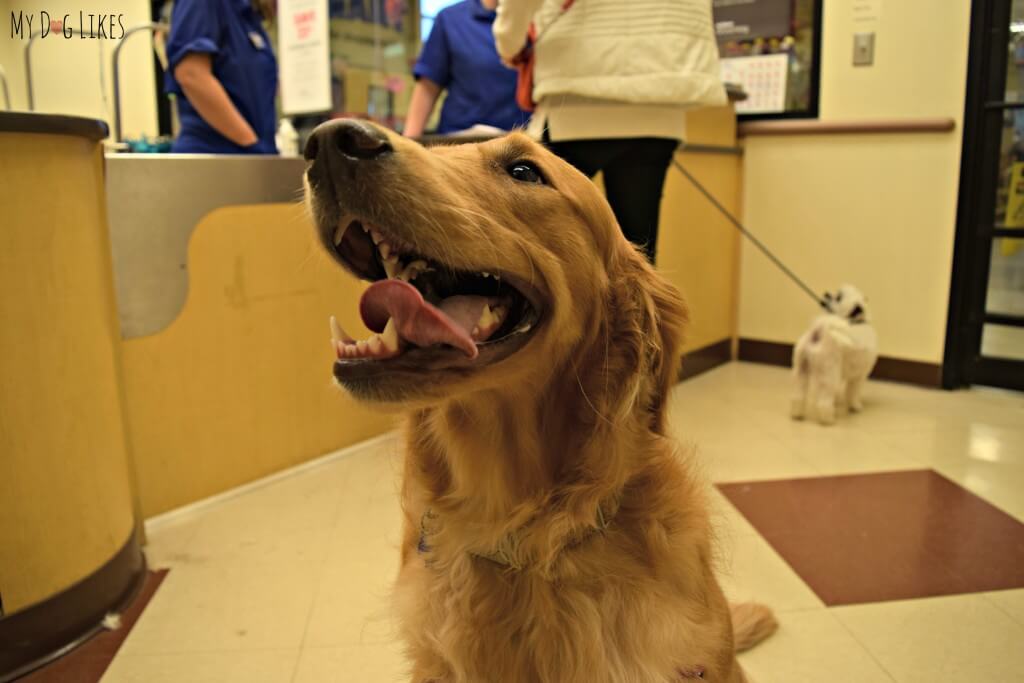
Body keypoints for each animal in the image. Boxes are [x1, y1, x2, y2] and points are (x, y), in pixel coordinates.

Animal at [790, 284, 880, 423]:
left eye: (838, 298)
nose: (827, 293)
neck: (856, 322)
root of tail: (820, 330)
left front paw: (838, 403)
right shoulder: (859, 376)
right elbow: (853, 393)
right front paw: (855, 406)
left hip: (801, 370)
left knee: (797, 396)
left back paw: (797, 414)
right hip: (829, 373)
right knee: (824, 401)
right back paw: (828, 419)